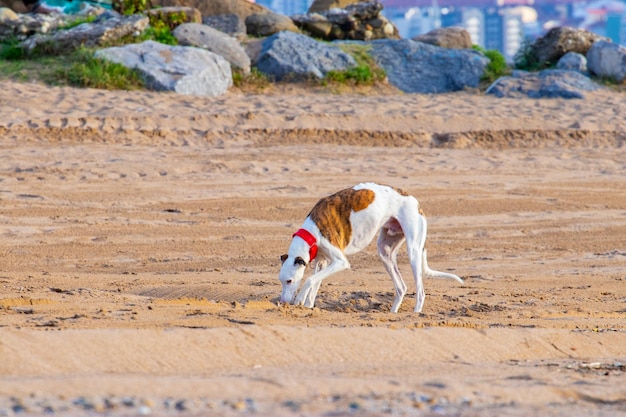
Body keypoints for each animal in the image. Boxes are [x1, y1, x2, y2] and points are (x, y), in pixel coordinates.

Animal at [276, 182, 458, 312]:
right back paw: (393, 313)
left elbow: (309, 280)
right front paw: (308, 306)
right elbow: (314, 283)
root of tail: (414, 200)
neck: (312, 231)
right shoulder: (323, 261)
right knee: (401, 287)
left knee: (420, 292)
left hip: (413, 251)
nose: (283, 302)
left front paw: (299, 299)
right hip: (385, 251)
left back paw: (415, 313)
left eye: (289, 281)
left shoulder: (340, 262)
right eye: (281, 281)